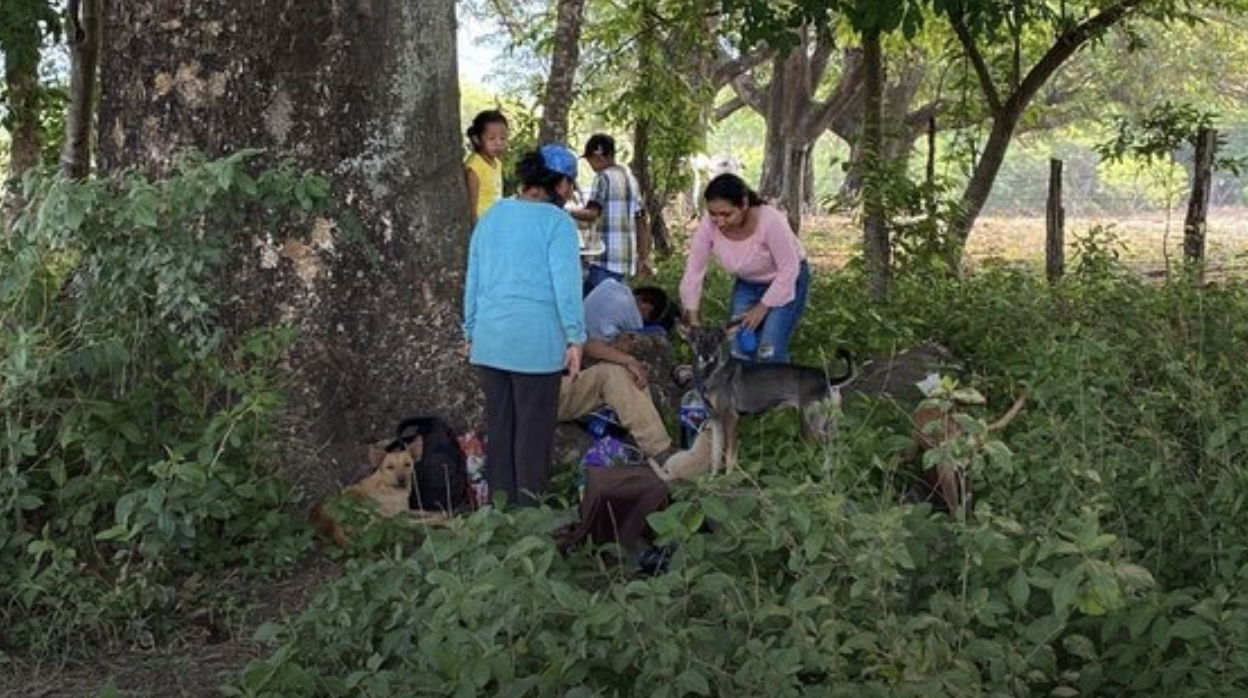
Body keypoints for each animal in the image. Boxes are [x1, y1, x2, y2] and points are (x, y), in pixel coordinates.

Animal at [310, 437, 449, 546]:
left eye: (407, 464)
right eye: (390, 467)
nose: (401, 479)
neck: (390, 489)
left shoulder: (405, 511)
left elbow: (424, 512)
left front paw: (441, 513)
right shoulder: (399, 520)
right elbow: (424, 521)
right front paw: (444, 521)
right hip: (361, 504)